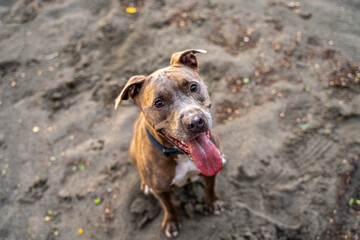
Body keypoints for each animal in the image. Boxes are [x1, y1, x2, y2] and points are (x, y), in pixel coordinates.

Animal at [115, 49, 224, 238]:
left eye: (193, 87)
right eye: (159, 103)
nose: (195, 122)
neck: (181, 156)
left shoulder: (211, 172)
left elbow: (210, 188)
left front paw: (213, 202)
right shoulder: (161, 191)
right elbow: (169, 206)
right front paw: (172, 222)